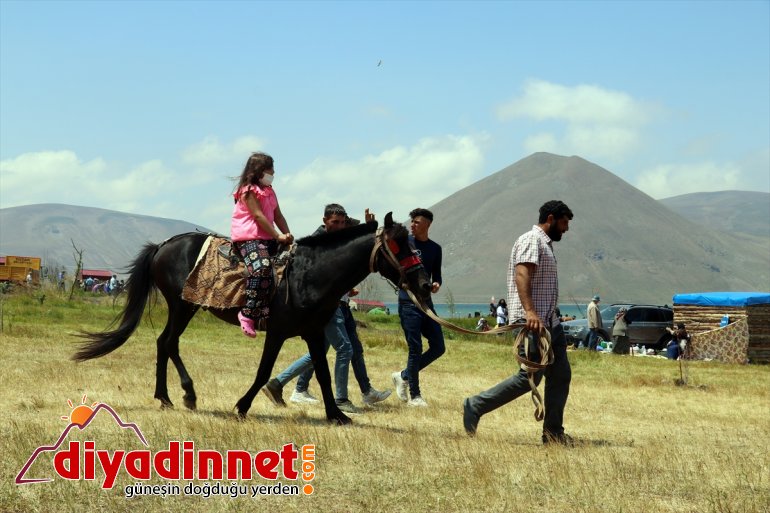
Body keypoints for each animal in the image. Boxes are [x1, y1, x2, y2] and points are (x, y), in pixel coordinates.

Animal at [76, 213, 432, 424]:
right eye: (398, 244)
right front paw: (242, 406)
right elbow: (263, 373)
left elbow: (322, 374)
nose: (424, 282)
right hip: (182, 306)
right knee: (168, 342)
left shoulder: (315, 333)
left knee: (166, 343)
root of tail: (164, 245)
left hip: (184, 308)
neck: (310, 274)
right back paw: (179, 395)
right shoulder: (277, 332)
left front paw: (336, 414)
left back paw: (172, 396)